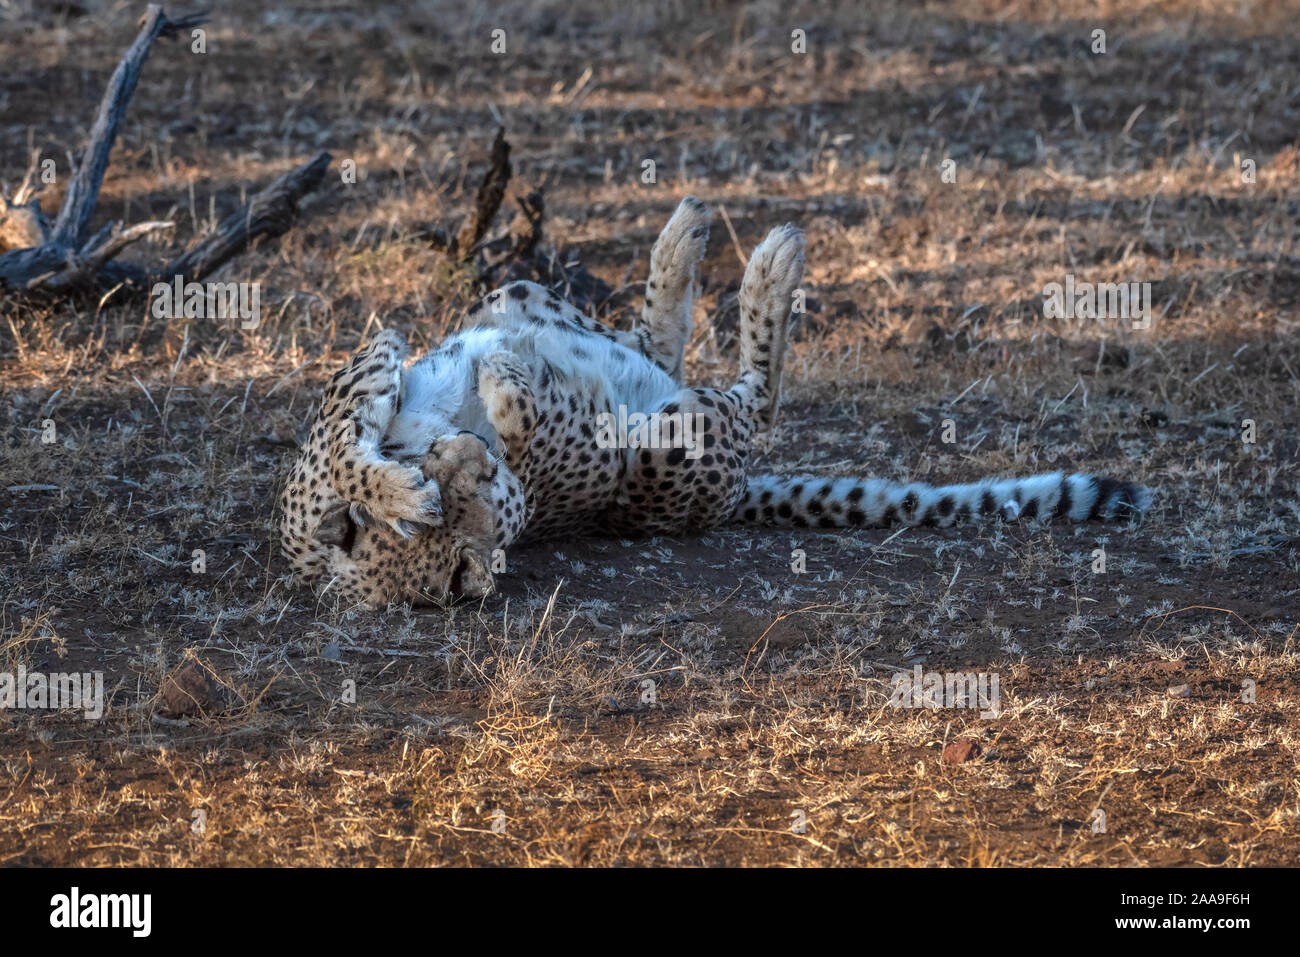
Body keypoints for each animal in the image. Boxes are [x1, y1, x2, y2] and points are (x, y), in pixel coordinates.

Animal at [279, 198, 1154, 608]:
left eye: (460, 490)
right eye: (462, 526)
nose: (466, 462)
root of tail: (737, 494)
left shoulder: (368, 366)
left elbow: (363, 428)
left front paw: (404, 477)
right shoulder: (570, 472)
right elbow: (520, 428)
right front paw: (487, 416)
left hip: (521, 291)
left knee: (652, 344)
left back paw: (693, 240)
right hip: (673, 438)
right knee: (751, 399)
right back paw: (766, 265)